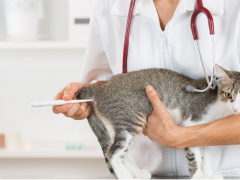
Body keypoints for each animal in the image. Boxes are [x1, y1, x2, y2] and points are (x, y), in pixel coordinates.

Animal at [76, 64, 238, 179]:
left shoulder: (203, 130)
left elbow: (206, 153)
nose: (236, 108)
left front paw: (209, 173)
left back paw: (138, 173)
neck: (218, 104)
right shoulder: (191, 124)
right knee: (113, 154)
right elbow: (195, 155)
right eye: (229, 95)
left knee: (118, 151)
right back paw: (128, 177)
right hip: (131, 119)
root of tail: (100, 89)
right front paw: (199, 176)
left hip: (115, 125)